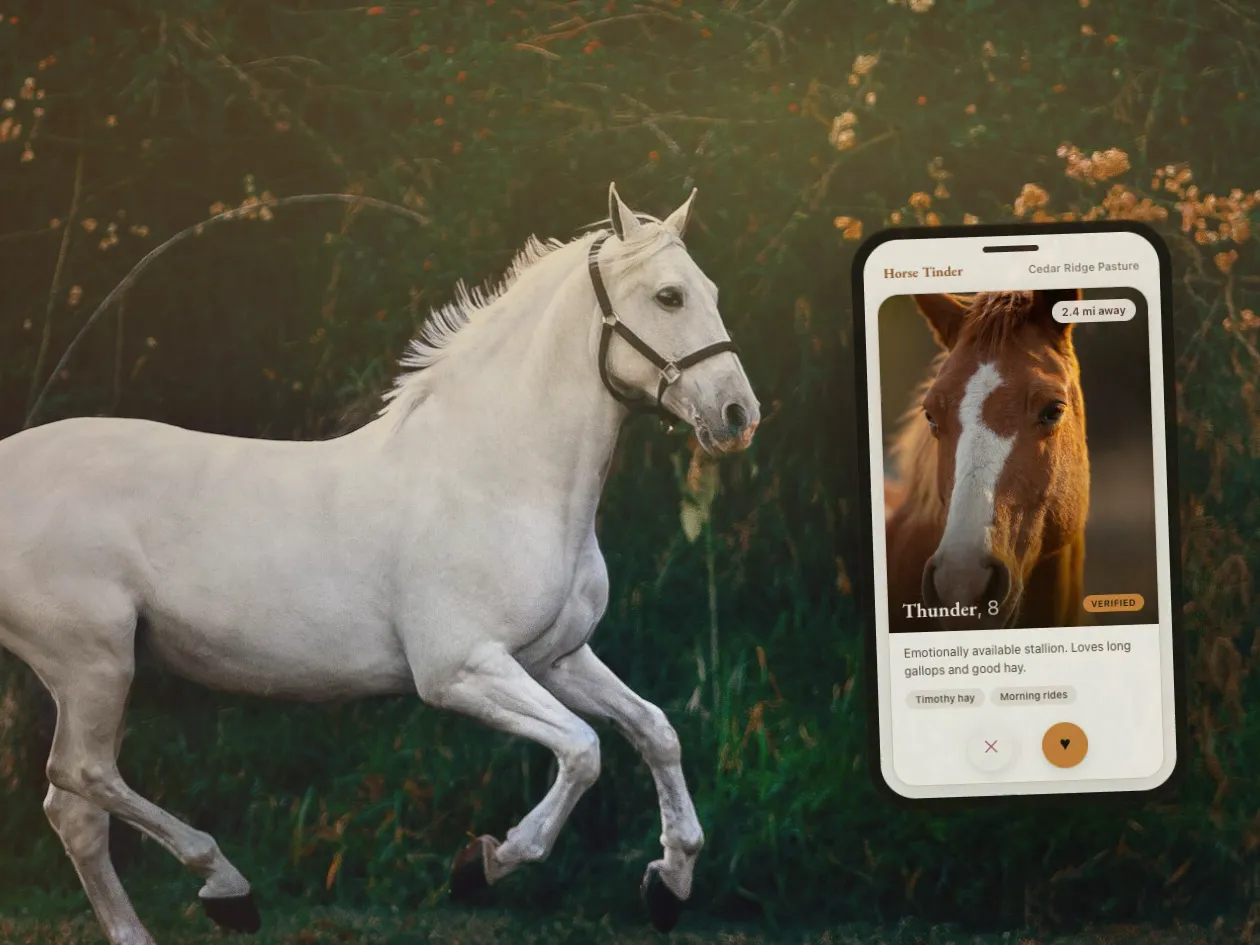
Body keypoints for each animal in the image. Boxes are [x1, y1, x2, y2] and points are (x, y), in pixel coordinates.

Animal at [0, 183, 759, 945]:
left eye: (714, 291)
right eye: (669, 296)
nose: (738, 414)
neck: (497, 474)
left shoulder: (555, 658)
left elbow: (656, 730)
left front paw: (670, 882)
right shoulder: (461, 670)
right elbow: (583, 750)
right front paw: (484, 862)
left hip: (97, 672)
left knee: (75, 809)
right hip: (92, 664)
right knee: (82, 774)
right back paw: (226, 884)